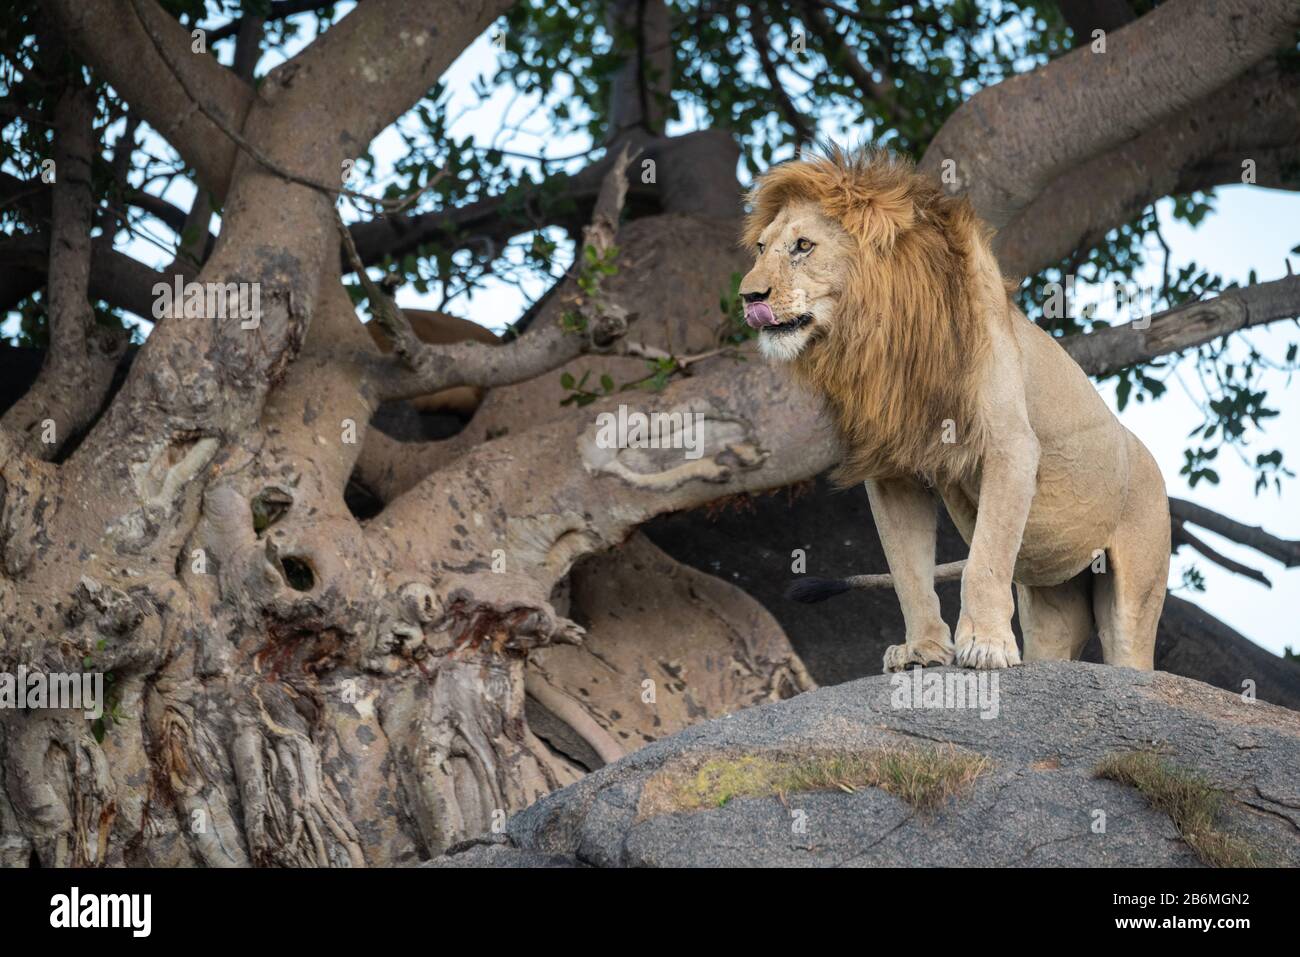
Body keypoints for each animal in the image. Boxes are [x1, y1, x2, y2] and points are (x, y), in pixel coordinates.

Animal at [739, 147, 1169, 672]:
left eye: (803, 246)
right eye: (762, 248)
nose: (749, 297)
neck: (883, 335)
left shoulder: (1010, 446)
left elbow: (985, 559)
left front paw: (984, 645)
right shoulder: (893, 471)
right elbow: (908, 571)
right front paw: (922, 651)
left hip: (1137, 585)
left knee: (1129, 650)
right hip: (1054, 597)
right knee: (1051, 637)